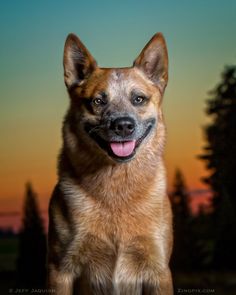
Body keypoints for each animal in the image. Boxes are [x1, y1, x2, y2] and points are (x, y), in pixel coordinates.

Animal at [48, 32, 173, 295]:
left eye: (138, 99)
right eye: (98, 101)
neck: (116, 187)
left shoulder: (158, 271)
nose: (123, 125)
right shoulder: (60, 270)